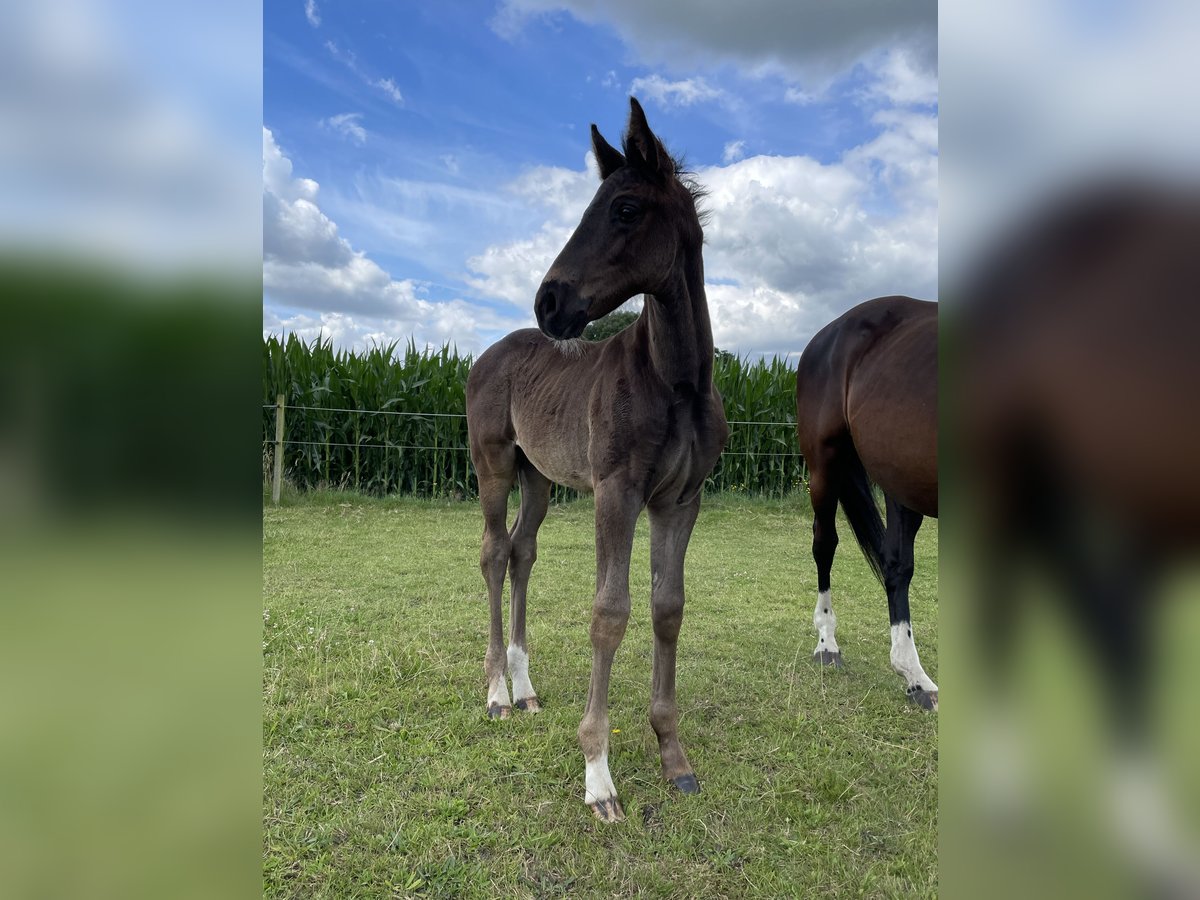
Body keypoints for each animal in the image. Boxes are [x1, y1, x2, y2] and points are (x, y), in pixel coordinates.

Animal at [463, 98, 724, 825]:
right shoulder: (617, 491)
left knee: (521, 552)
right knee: (492, 552)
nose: (549, 302)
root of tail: (486, 355)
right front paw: (598, 776)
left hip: (539, 479)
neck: (676, 380)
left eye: (626, 208)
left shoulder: (680, 500)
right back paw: (496, 691)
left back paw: (524, 688)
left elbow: (668, 608)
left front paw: (673, 755)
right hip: (494, 466)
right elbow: (610, 613)